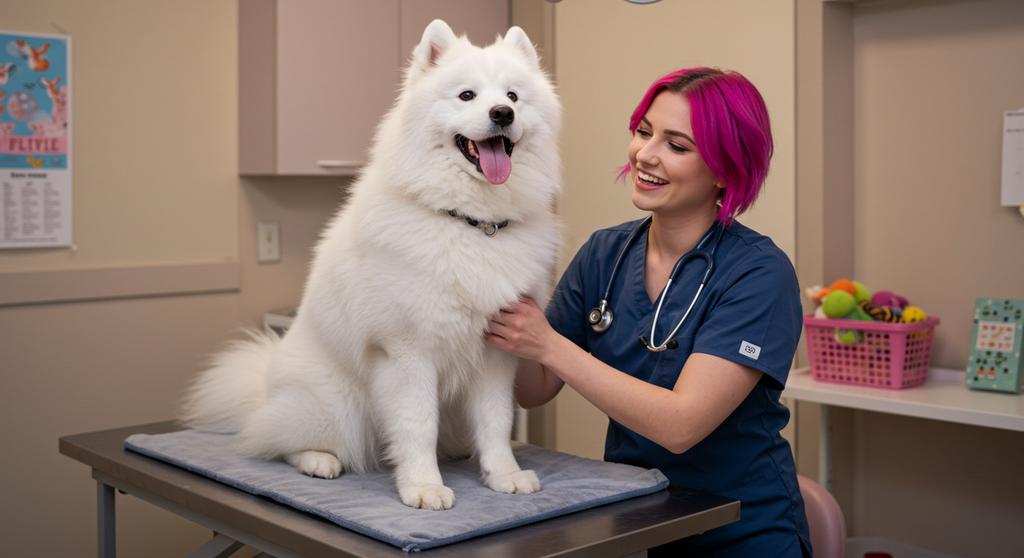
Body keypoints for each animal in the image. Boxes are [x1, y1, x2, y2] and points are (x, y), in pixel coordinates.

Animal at [182, 20, 561, 509]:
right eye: (467, 96)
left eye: (513, 96)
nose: (502, 114)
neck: (471, 224)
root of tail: (265, 386)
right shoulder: (407, 352)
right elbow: (418, 425)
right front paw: (423, 486)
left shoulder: (496, 352)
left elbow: (496, 422)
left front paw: (504, 475)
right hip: (337, 406)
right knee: (271, 441)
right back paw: (317, 460)